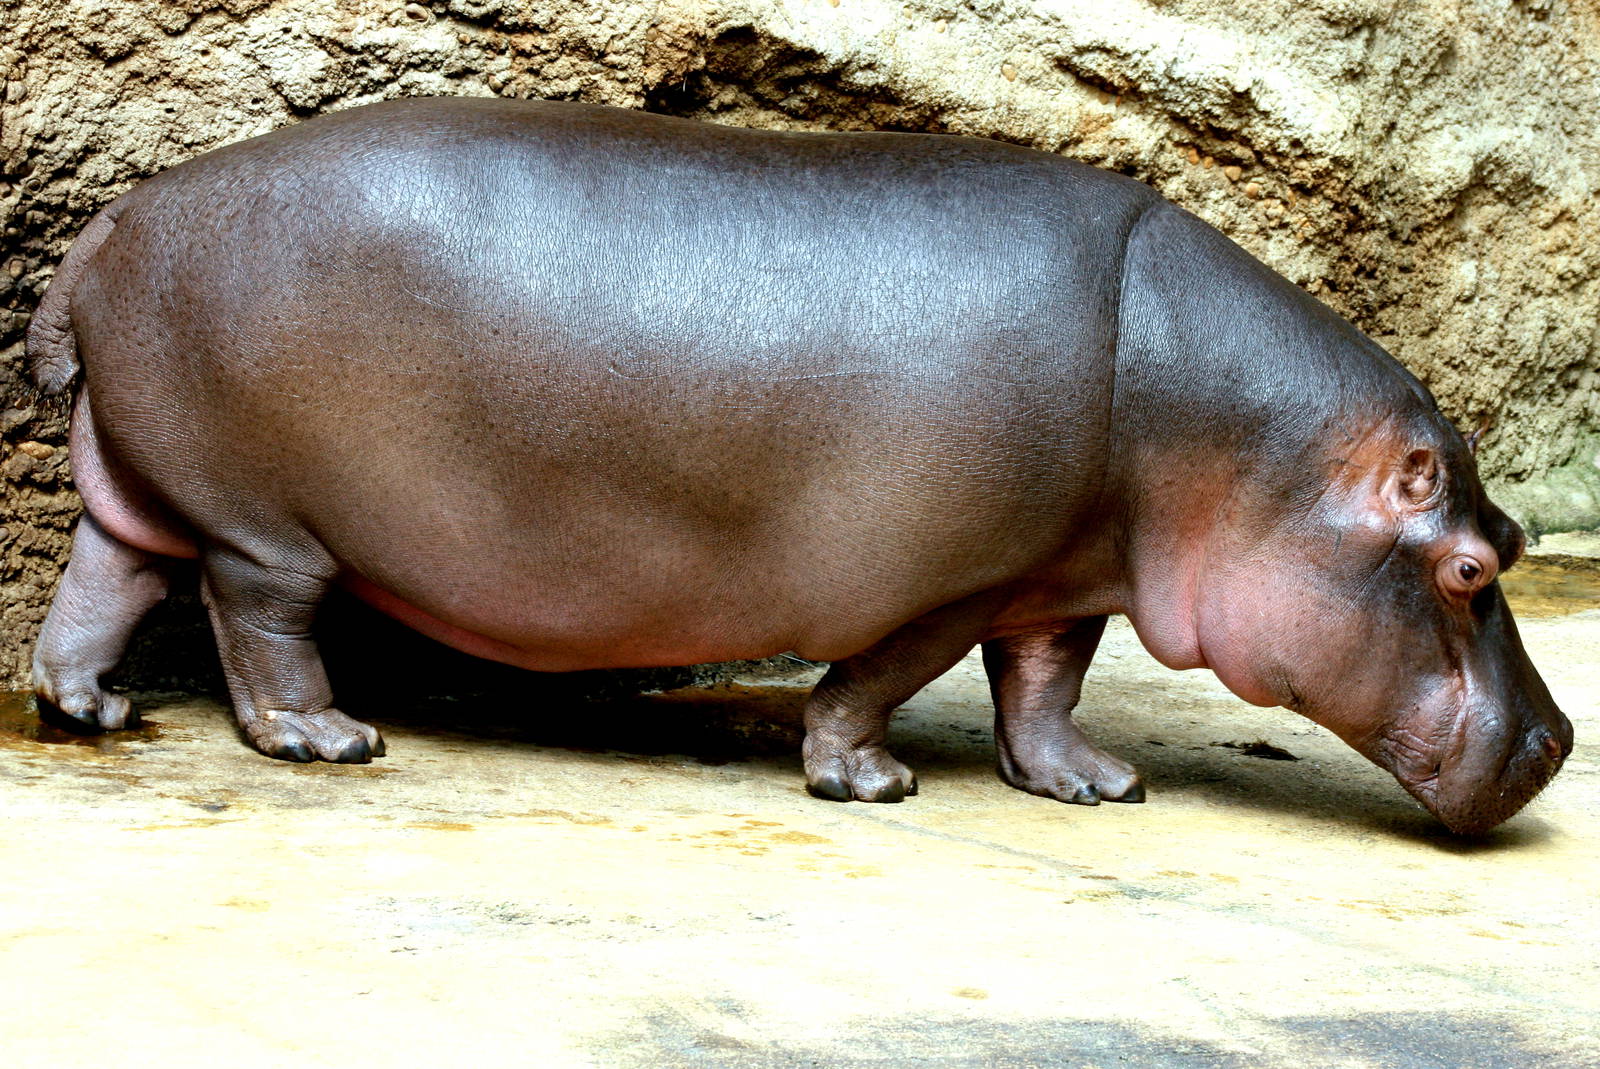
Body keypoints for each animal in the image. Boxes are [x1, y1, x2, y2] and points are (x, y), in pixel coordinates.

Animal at [27, 97, 1570, 833]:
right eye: (1469, 566)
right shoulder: (957, 580)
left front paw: (1094, 785)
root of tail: (110, 219)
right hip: (262, 518)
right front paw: (868, 782)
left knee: (108, 575)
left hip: (141, 478)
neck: (1242, 447)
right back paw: (330, 739)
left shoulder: (1068, 571)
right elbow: (886, 677)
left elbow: (1047, 685)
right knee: (257, 614)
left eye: (1515, 544)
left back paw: (88, 712)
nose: (1559, 741)